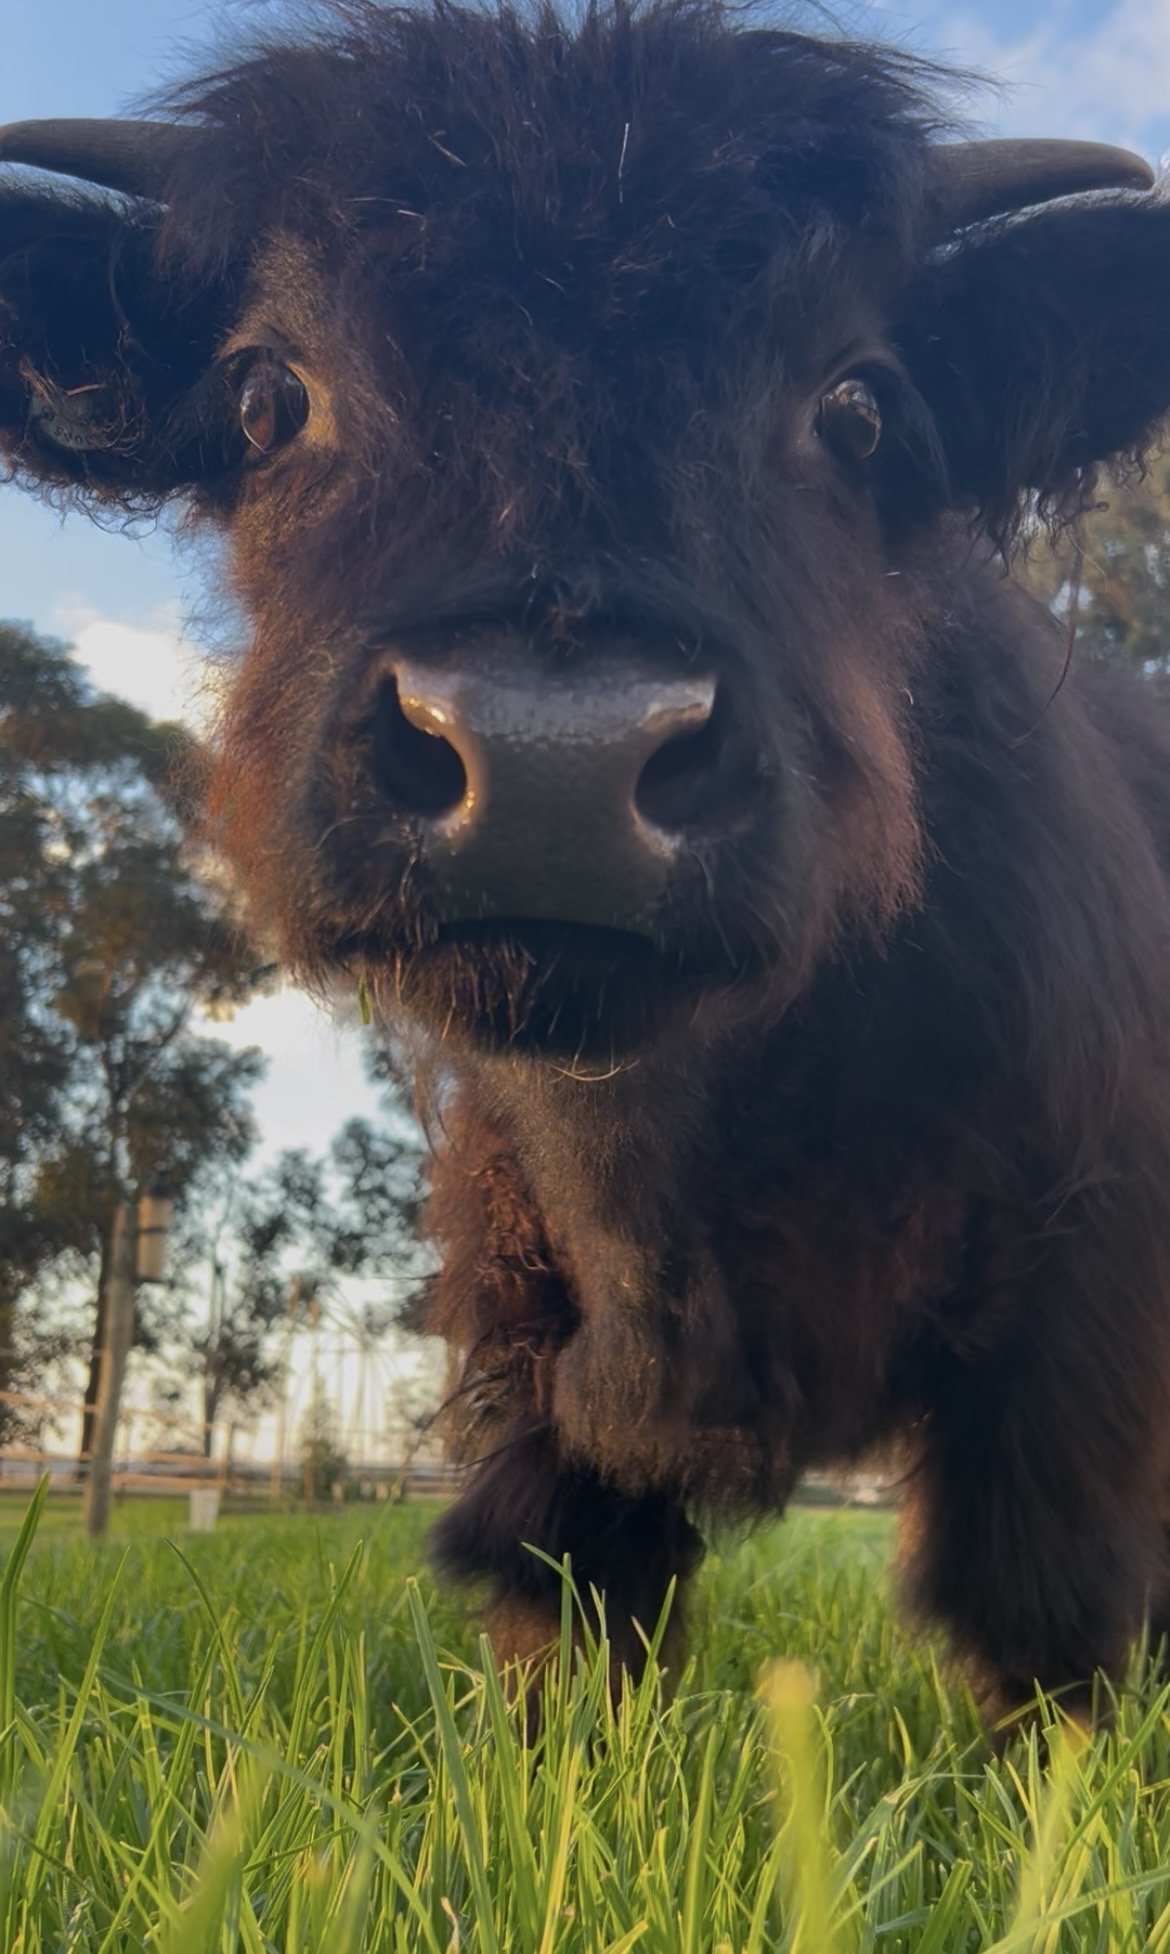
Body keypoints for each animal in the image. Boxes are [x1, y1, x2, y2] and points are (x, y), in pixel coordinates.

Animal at [4, 0, 1170, 1720]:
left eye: (856, 406)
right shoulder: (525, 1346)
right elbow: (569, 1599)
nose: (554, 757)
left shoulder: (1078, 1317)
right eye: (271, 396)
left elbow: (1043, 1616)